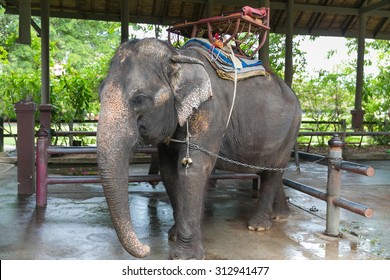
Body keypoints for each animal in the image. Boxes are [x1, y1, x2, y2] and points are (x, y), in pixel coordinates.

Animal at [96, 37, 302, 260]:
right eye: (99, 94)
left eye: (139, 98)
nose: (147, 248)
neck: (178, 57)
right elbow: (169, 171)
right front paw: (173, 235)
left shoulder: (210, 111)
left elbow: (192, 169)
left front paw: (186, 256)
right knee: (271, 171)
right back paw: (280, 216)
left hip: (291, 129)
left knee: (273, 171)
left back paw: (259, 227)